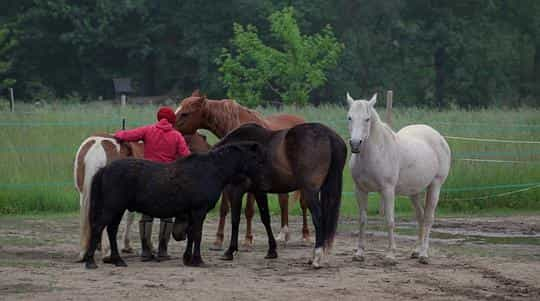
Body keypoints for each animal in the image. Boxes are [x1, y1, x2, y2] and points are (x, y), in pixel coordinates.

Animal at [83, 142, 266, 268]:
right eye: (256, 159)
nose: (263, 182)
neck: (211, 170)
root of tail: (104, 169)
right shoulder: (199, 211)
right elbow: (197, 234)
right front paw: (198, 260)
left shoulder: (193, 213)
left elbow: (191, 234)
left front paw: (188, 259)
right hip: (112, 208)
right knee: (99, 228)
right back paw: (91, 261)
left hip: (117, 210)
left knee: (111, 230)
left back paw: (118, 260)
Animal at [175, 90, 310, 250]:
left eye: (185, 113)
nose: (168, 124)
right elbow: (224, 208)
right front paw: (218, 240)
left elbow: (249, 210)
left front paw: (247, 239)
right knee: (284, 200)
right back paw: (284, 235)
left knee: (303, 203)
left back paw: (305, 236)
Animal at [212, 122, 346, 268]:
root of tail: (328, 135)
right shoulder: (259, 191)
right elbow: (265, 218)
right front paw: (272, 251)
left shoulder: (236, 190)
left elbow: (235, 219)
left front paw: (230, 251)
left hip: (310, 191)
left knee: (319, 219)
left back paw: (316, 257)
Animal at [348, 92, 450, 262]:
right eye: (349, 117)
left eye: (367, 119)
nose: (355, 144)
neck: (376, 152)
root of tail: (439, 137)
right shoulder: (360, 190)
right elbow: (362, 220)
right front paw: (359, 253)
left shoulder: (388, 190)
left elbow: (390, 221)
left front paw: (390, 254)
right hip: (414, 192)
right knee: (421, 217)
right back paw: (416, 251)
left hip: (435, 186)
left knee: (429, 218)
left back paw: (423, 254)